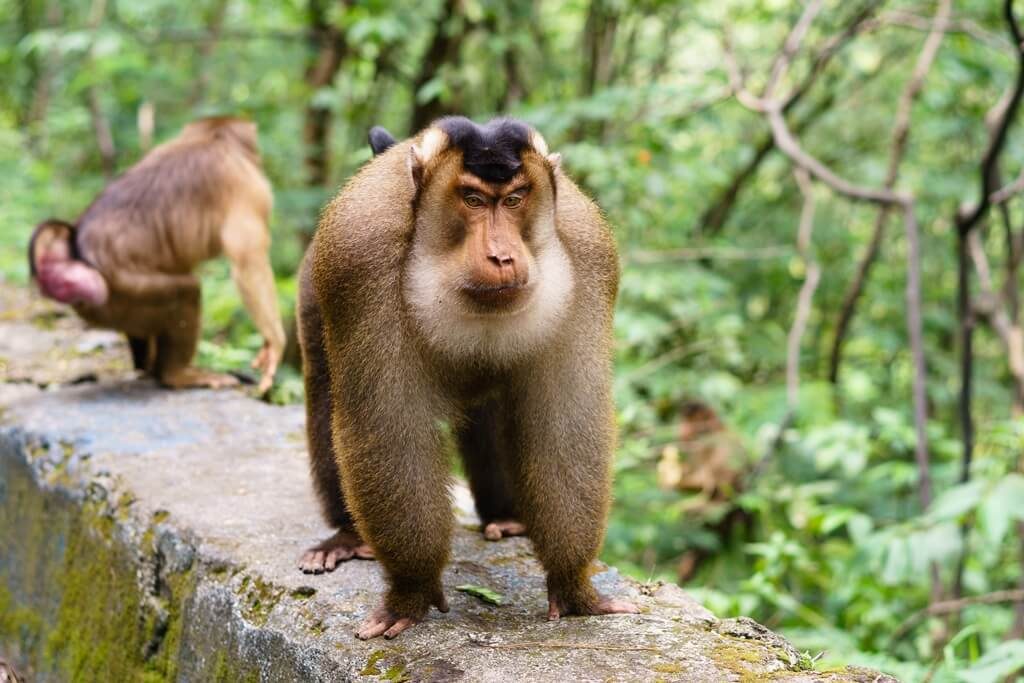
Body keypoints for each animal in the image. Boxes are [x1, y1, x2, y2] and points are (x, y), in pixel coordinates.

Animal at [29, 116, 284, 393]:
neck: (212, 138)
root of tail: (77, 248)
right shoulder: (248, 185)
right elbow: (248, 261)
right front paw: (274, 343)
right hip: (122, 296)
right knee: (186, 293)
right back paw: (176, 374)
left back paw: (148, 368)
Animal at [296, 116, 634, 643]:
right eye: (473, 199)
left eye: (514, 199)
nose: (501, 256)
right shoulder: (360, 261)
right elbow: (389, 429)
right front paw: (412, 588)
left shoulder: (589, 258)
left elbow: (565, 428)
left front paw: (572, 585)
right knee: (325, 389)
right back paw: (346, 536)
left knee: (496, 407)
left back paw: (505, 518)